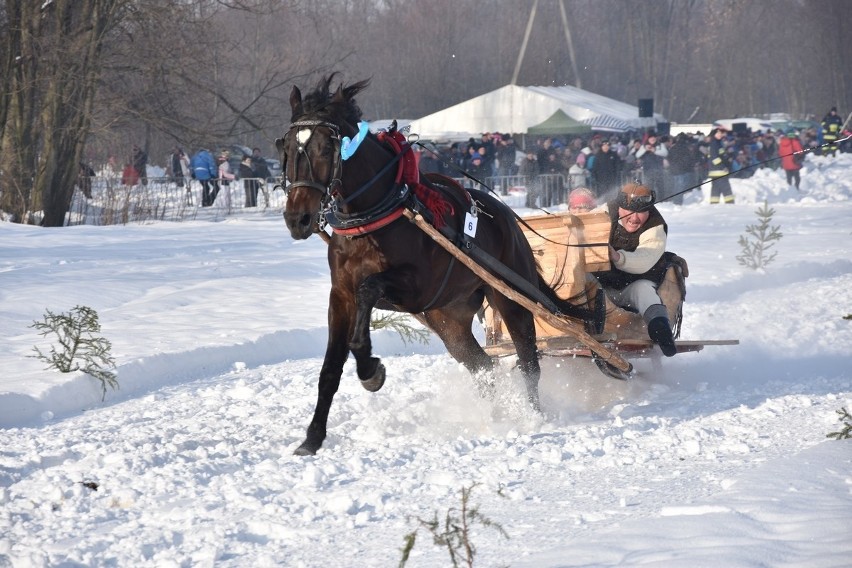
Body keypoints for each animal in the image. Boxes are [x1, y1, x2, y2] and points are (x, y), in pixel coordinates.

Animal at [276, 76, 588, 458]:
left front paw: (370, 369)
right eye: (287, 147)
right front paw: (312, 437)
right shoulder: (341, 295)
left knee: (529, 361)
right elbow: (330, 369)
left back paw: (532, 416)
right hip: (447, 318)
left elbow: (369, 291)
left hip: (510, 296)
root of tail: (508, 218)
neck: (374, 216)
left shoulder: (415, 287)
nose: (298, 218)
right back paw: (498, 415)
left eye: (325, 148)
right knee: (482, 366)